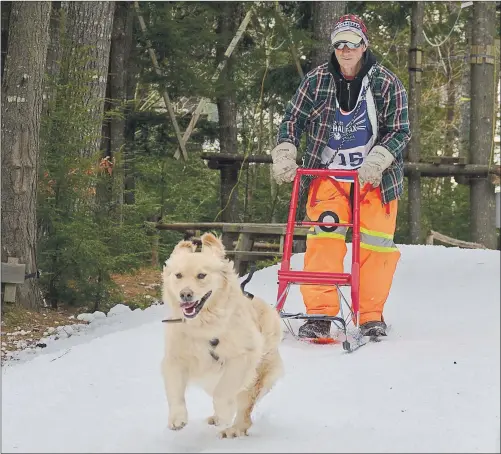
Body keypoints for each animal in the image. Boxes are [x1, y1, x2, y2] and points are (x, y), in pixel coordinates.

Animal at [161, 232, 286, 438]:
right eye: (178, 275)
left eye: (201, 275)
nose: (185, 294)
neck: (204, 325)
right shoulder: (175, 358)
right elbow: (174, 391)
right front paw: (177, 419)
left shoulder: (243, 356)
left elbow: (224, 391)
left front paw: (223, 414)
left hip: (257, 375)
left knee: (244, 408)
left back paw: (233, 429)